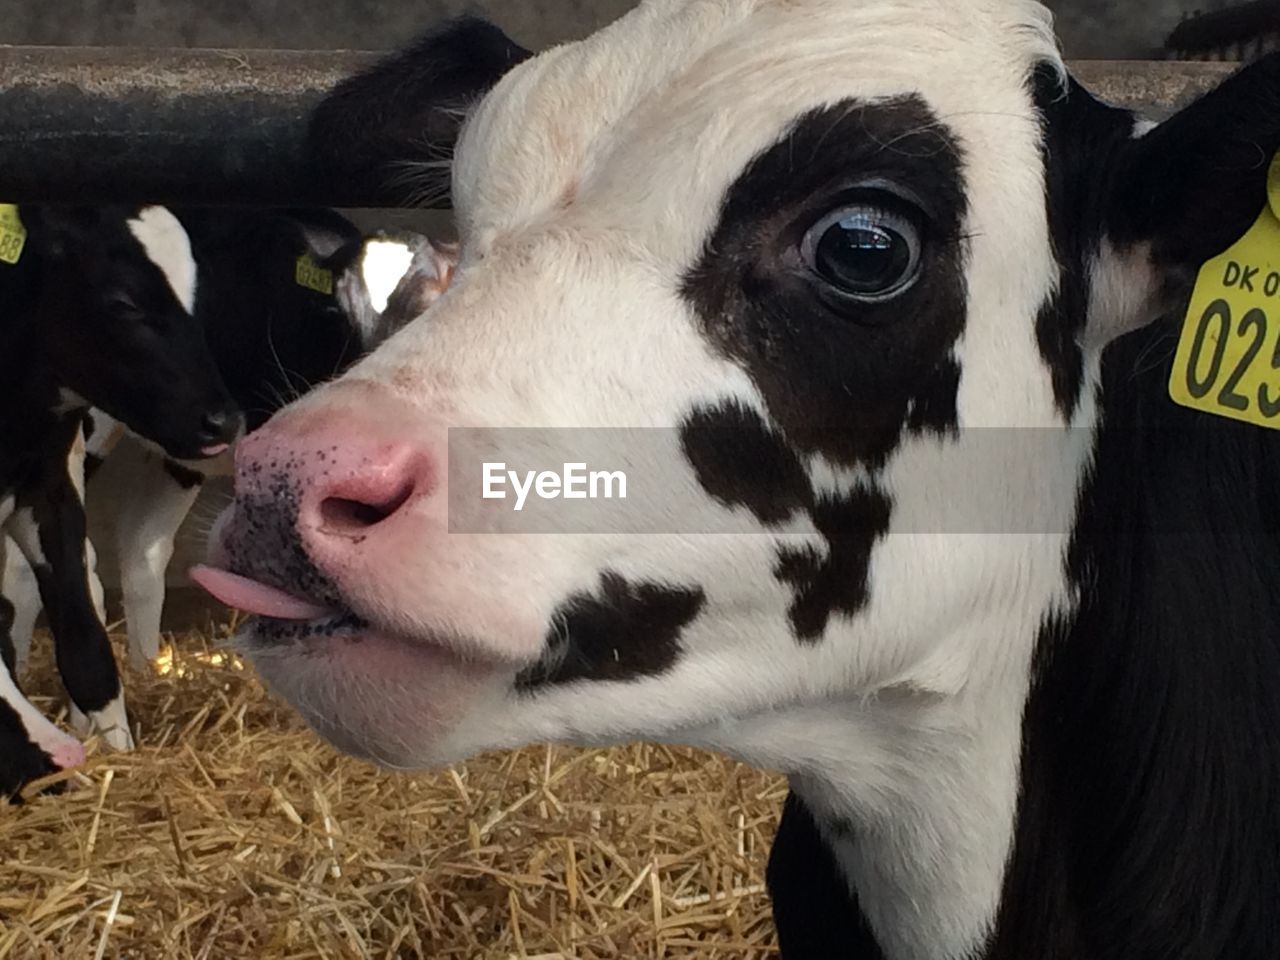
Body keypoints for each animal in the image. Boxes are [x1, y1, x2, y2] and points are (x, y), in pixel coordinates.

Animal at [0, 203, 240, 798]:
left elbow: (85, 643)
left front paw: (117, 752)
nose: (222, 420)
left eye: (200, 294)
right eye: (124, 302)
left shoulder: (51, 491)